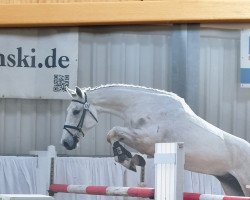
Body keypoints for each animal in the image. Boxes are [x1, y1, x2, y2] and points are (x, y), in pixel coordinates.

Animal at [60, 83, 250, 196]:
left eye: (75, 111)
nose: (66, 143)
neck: (143, 104)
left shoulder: (147, 139)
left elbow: (112, 132)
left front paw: (127, 159)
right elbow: (114, 136)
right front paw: (130, 159)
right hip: (231, 184)